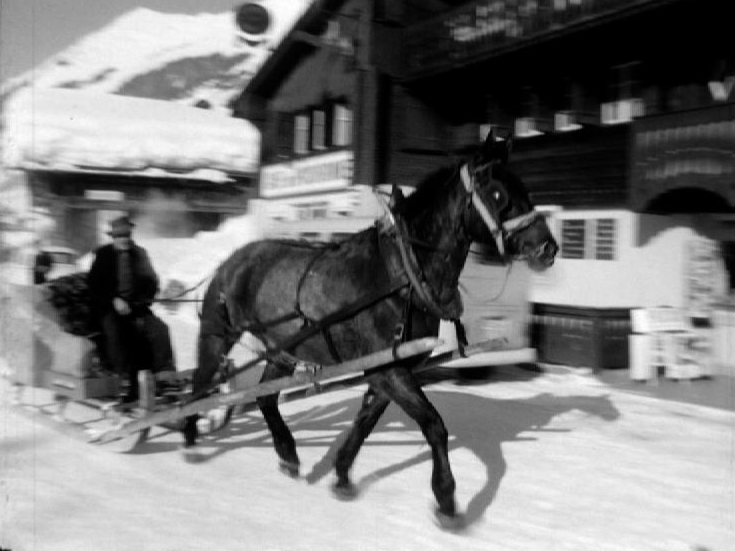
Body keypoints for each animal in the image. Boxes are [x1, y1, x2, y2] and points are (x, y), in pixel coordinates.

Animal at [184, 132, 556, 528]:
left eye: (524, 187)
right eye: (498, 193)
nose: (548, 247)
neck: (403, 276)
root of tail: (233, 259)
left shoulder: (387, 370)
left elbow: (364, 422)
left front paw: (342, 474)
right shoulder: (388, 369)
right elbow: (434, 424)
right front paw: (445, 497)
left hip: (283, 348)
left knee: (265, 398)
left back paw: (287, 454)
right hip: (217, 334)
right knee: (200, 385)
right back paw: (190, 438)